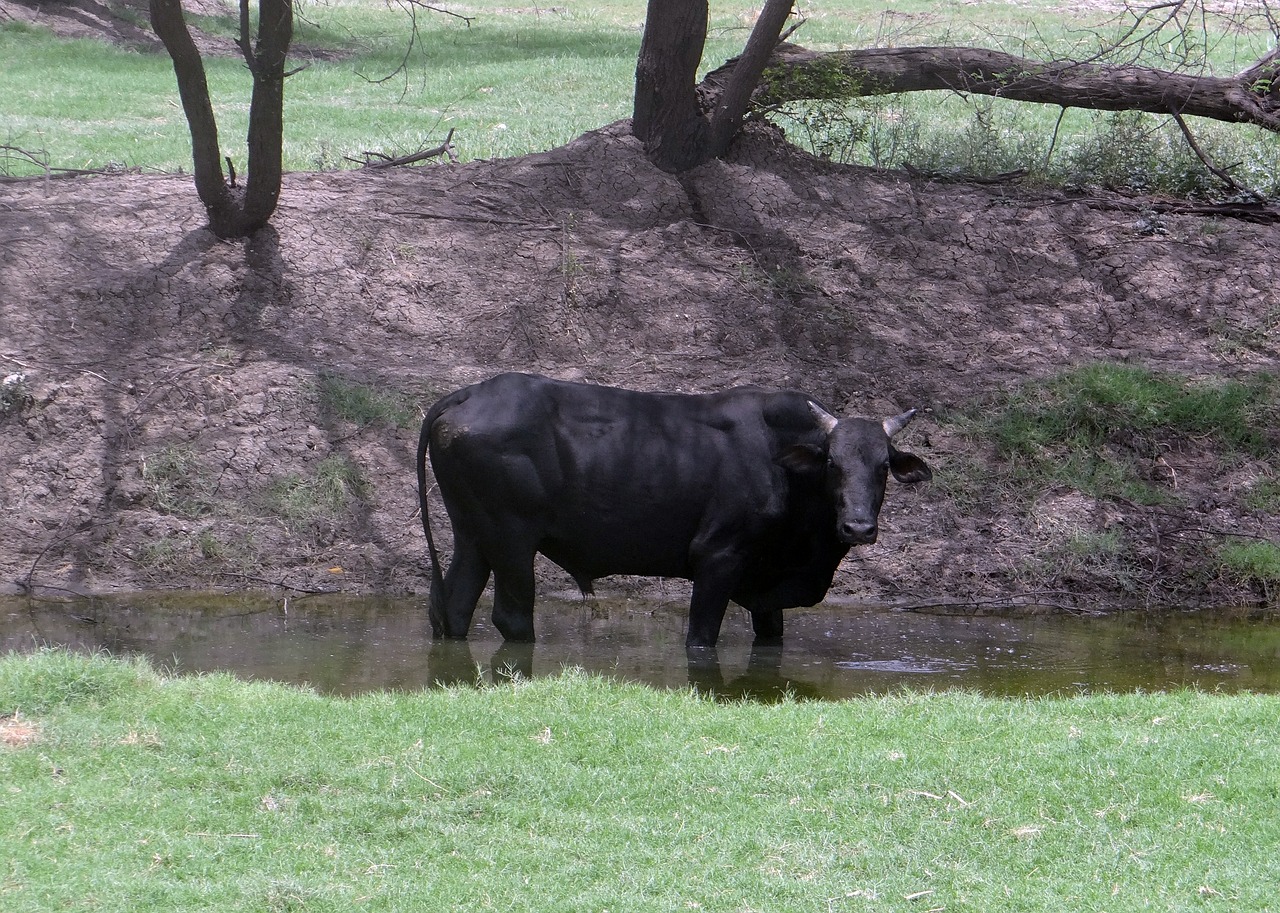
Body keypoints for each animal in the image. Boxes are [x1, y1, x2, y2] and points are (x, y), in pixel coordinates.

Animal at [419, 371, 931, 647]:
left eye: (884, 466)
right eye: (832, 462)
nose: (859, 527)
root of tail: (472, 392)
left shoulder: (765, 588)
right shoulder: (718, 558)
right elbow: (701, 638)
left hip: (473, 536)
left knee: (454, 607)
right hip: (511, 540)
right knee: (511, 616)